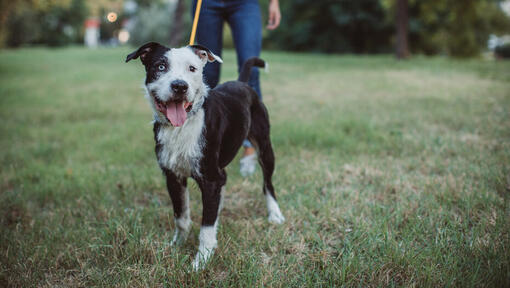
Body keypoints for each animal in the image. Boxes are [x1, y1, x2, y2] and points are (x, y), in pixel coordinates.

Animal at [125, 42, 284, 270]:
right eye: (160, 66)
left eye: (192, 68)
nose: (180, 86)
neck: (183, 126)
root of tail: (241, 83)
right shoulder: (173, 176)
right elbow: (181, 217)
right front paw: (177, 245)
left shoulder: (210, 178)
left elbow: (206, 226)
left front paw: (201, 261)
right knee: (225, 180)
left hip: (264, 147)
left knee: (267, 183)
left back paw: (275, 214)